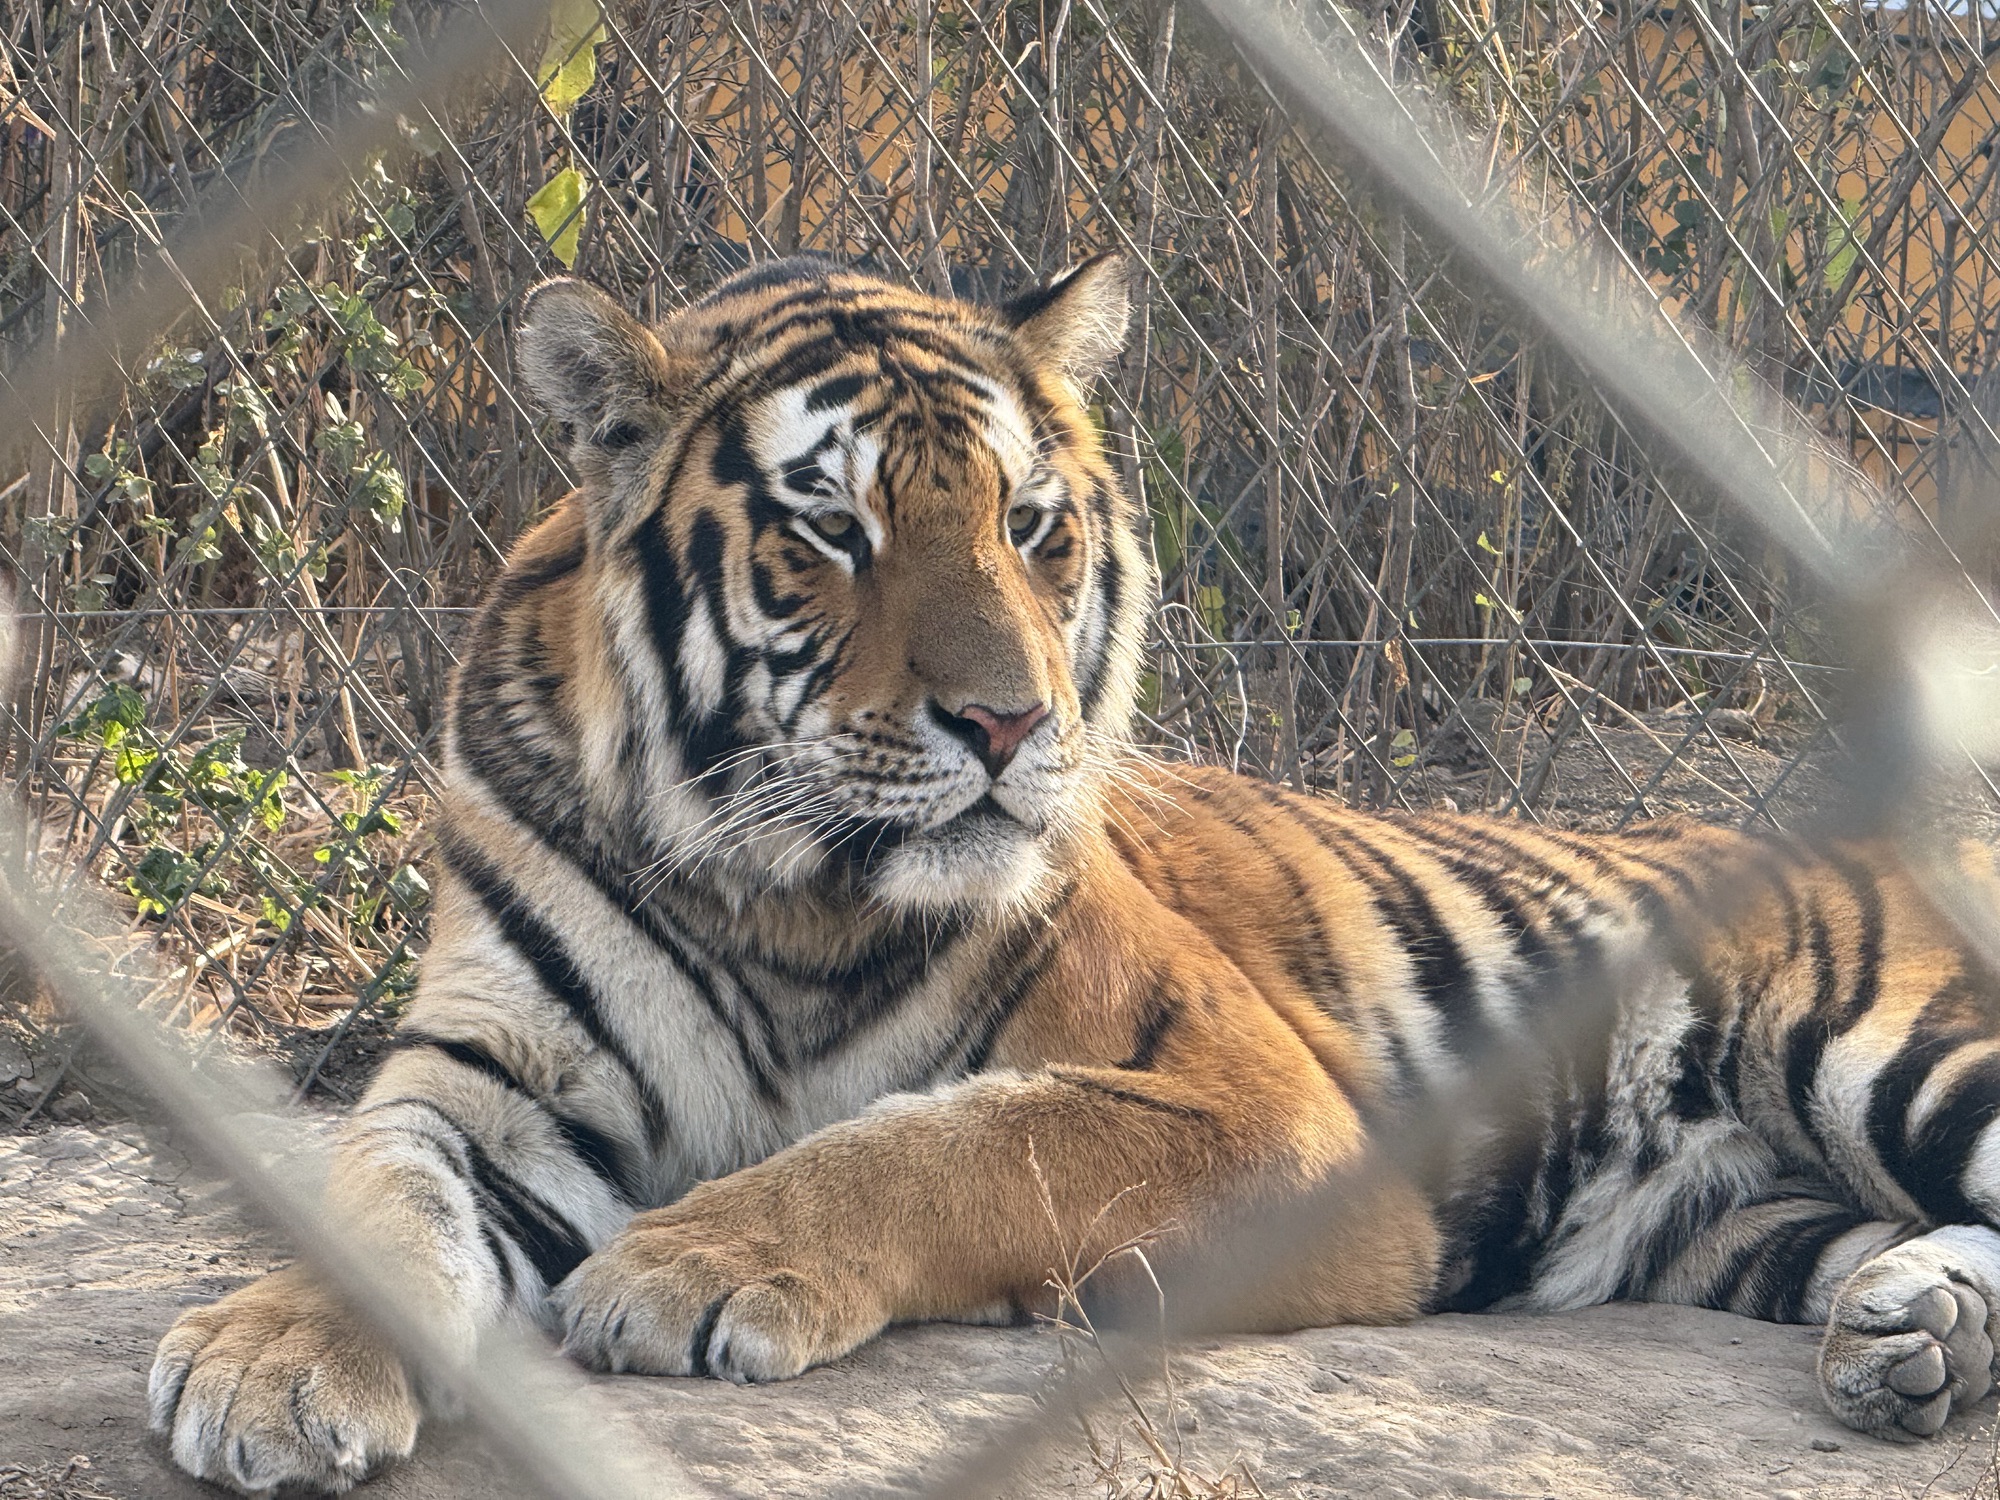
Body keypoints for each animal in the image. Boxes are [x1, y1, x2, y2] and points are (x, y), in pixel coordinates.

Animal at [148, 254, 2000, 1495]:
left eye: (1033, 526)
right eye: (831, 532)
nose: (1006, 719)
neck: (785, 892)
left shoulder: (1258, 1105)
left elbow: (963, 1144)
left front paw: (689, 1266)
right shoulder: (487, 1079)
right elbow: (373, 1193)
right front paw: (269, 1365)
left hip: (1890, 1049)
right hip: (1737, 1223)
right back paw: (1917, 1339)